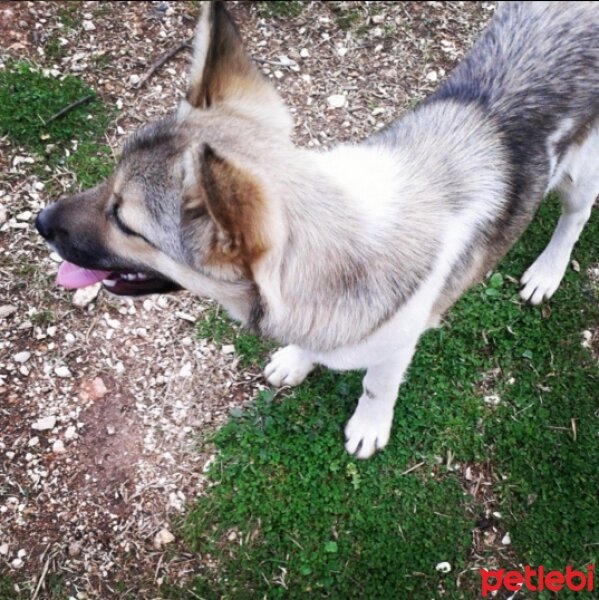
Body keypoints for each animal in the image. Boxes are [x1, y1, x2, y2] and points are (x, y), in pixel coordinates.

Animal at [36, 2, 599, 458]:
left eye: (124, 221)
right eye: (109, 180)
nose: (39, 221)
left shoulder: (398, 346)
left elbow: (376, 386)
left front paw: (368, 426)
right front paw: (297, 359)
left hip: (579, 175)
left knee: (575, 216)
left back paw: (546, 272)